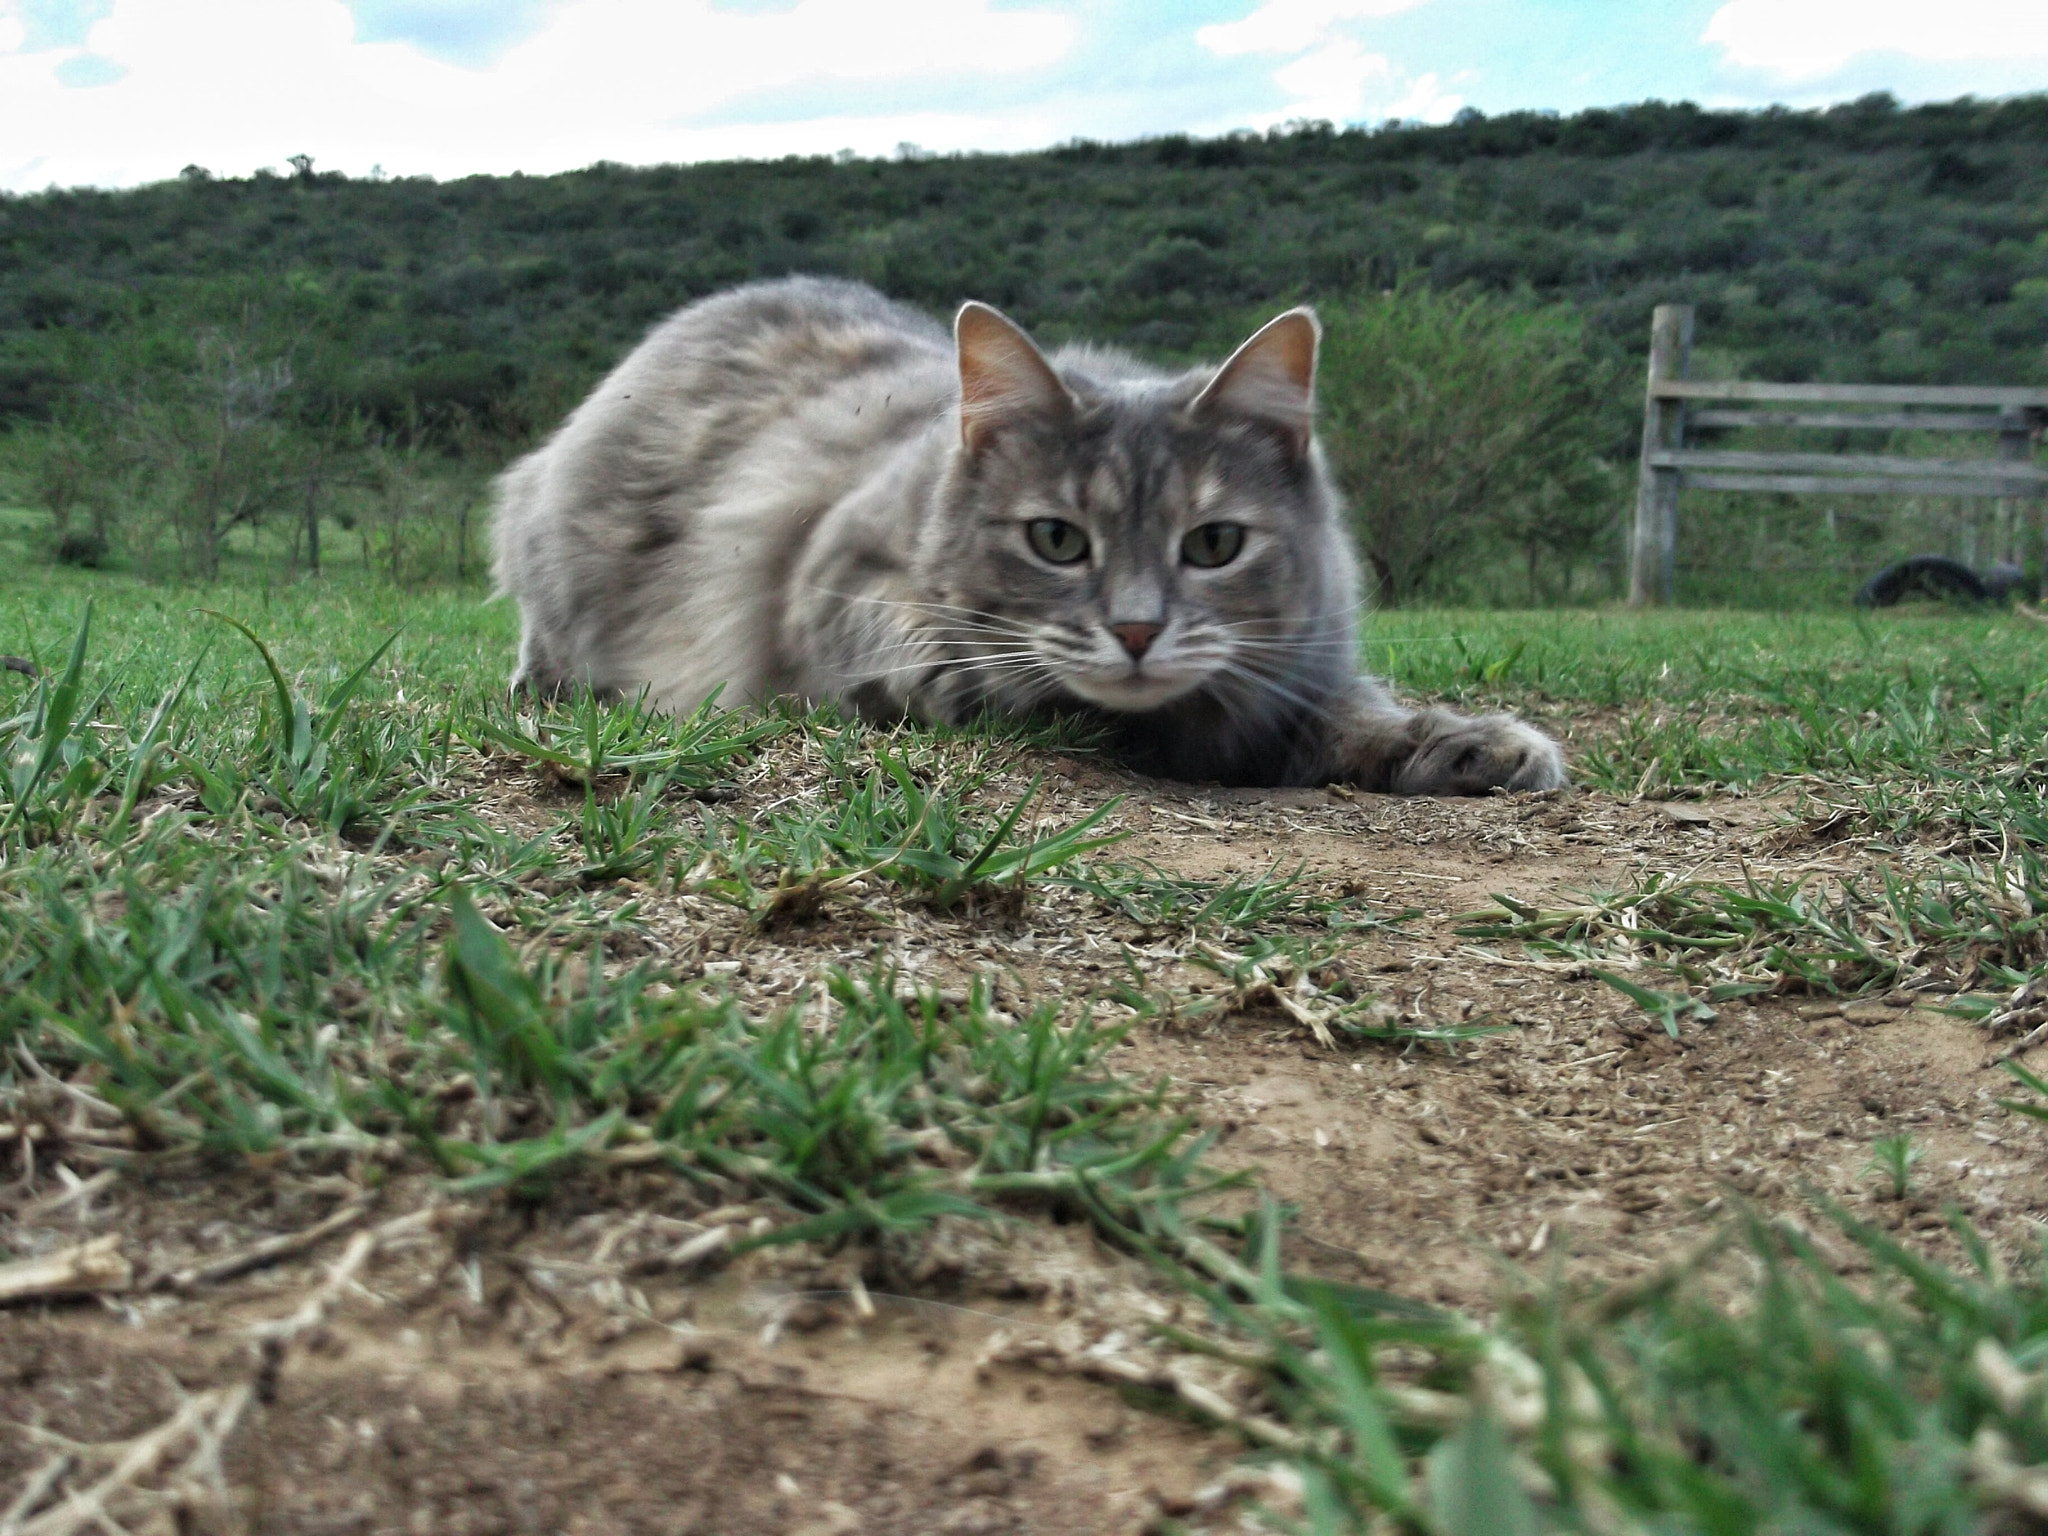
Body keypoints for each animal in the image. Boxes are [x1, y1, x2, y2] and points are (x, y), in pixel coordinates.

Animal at [487, 276, 1556, 798]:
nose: (1137, 631)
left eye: (1214, 545)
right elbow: (972, 672)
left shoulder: (1293, 672)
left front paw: (1468, 743)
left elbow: (1353, 711)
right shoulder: (835, 586)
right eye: (1056, 540)